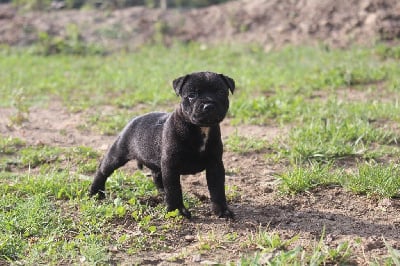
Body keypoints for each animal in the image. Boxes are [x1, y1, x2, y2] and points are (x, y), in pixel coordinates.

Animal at [88, 70, 234, 218]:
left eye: (221, 92)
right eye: (192, 95)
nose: (208, 105)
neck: (200, 129)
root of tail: (134, 119)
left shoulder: (215, 164)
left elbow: (217, 189)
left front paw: (222, 210)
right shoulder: (171, 165)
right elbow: (174, 190)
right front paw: (177, 210)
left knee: (157, 176)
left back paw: (162, 194)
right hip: (118, 152)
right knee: (103, 170)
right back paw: (95, 193)